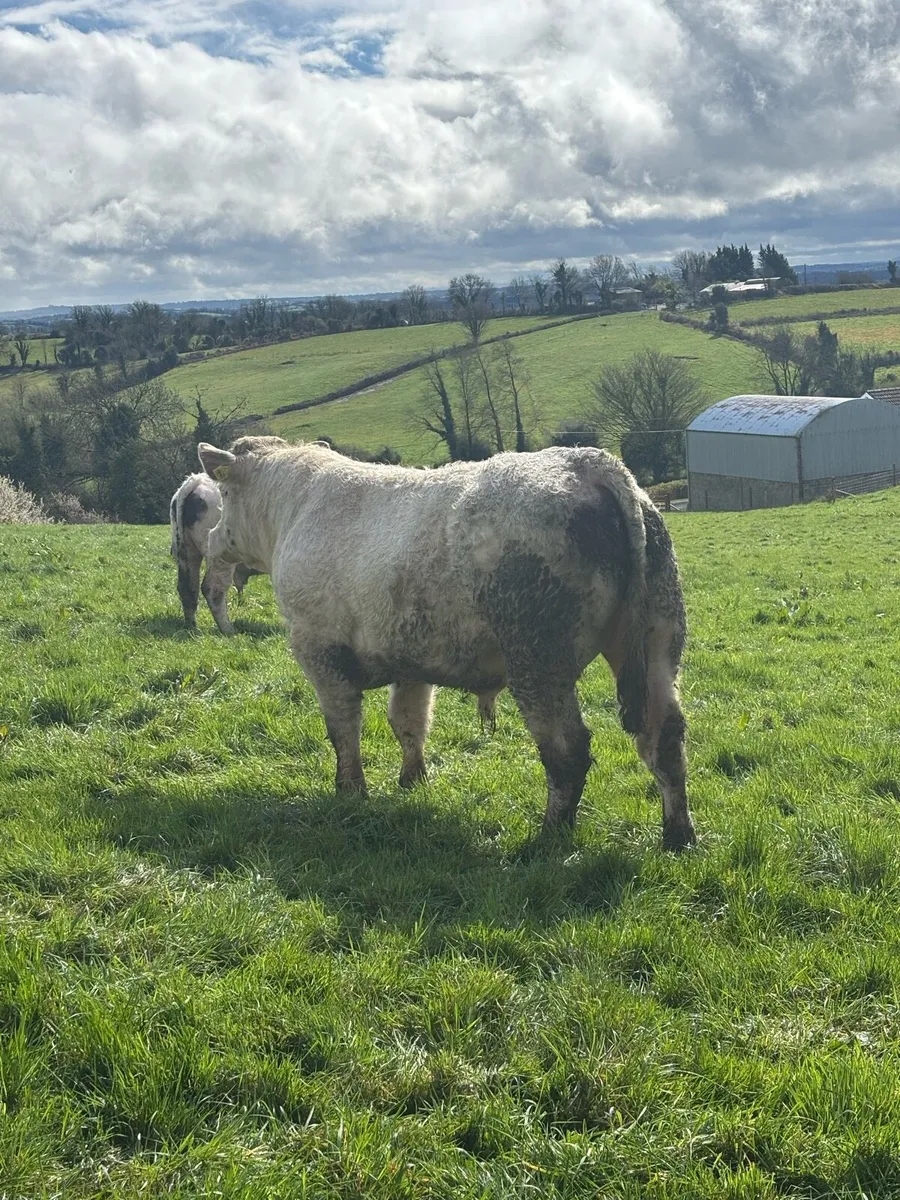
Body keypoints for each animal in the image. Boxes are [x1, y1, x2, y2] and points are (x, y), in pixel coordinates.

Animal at [197, 438, 695, 850]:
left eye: (223, 494)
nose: (211, 539)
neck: (294, 510)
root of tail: (586, 461)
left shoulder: (318, 647)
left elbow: (343, 729)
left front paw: (350, 791)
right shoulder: (411, 661)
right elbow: (408, 721)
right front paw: (412, 780)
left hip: (538, 658)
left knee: (568, 750)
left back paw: (548, 837)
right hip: (659, 636)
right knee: (664, 737)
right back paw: (678, 837)